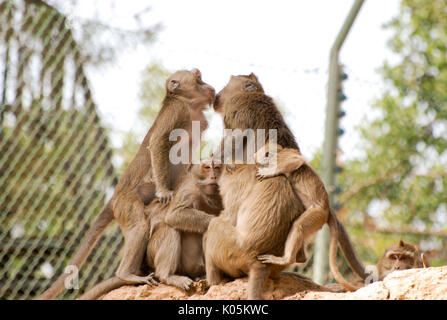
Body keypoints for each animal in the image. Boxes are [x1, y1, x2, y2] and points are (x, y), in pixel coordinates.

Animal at [79, 160, 224, 300]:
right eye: (206, 167)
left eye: (217, 167)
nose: (213, 176)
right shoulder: (189, 189)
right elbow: (174, 215)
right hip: (154, 255)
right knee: (168, 229)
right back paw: (165, 275)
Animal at [254, 143, 370, 292]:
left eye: (265, 154)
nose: (255, 159)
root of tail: (326, 208)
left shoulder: (284, 156)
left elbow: (297, 161)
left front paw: (270, 172)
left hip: (316, 214)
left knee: (299, 226)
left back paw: (287, 259)